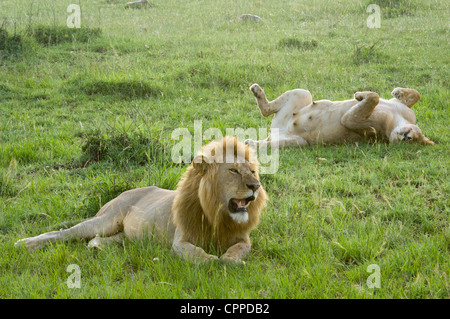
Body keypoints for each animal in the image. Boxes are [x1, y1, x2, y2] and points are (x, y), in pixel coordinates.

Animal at [14, 138, 268, 264]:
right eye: (233, 171)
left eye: (252, 171)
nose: (255, 186)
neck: (218, 214)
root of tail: (121, 194)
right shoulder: (180, 241)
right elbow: (198, 256)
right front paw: (215, 261)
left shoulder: (243, 240)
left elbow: (238, 250)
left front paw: (230, 260)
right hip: (106, 220)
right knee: (64, 233)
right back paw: (25, 244)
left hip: (124, 234)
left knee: (100, 239)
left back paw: (96, 247)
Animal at [248, 82, 434, 148]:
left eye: (411, 140)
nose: (405, 137)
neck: (396, 119)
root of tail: (275, 131)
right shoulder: (407, 111)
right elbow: (416, 94)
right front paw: (398, 92)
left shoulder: (355, 123)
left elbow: (373, 97)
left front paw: (360, 95)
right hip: (302, 93)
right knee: (266, 110)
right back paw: (257, 91)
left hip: (297, 142)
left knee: (265, 143)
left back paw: (249, 142)